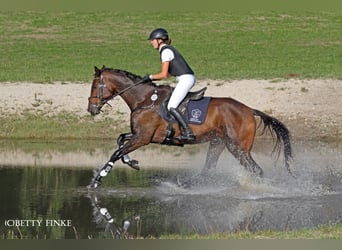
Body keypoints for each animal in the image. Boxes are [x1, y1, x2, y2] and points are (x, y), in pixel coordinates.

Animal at [87, 65, 292, 188]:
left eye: (95, 85)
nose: (91, 109)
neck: (144, 99)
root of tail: (249, 110)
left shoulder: (143, 138)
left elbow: (116, 153)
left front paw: (96, 180)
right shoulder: (141, 135)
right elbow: (120, 140)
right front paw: (132, 162)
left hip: (238, 148)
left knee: (256, 170)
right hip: (219, 143)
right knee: (208, 169)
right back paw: (185, 185)